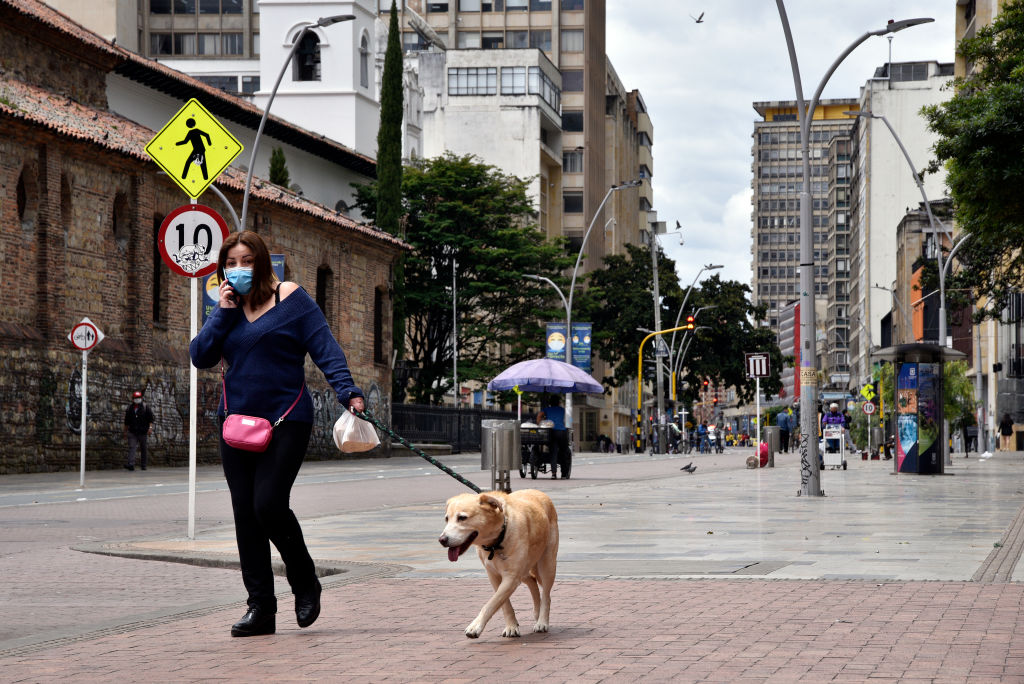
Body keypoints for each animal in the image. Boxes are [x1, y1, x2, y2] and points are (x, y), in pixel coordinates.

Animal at [436, 489, 557, 638]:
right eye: (447, 519)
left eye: (462, 518)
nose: (442, 540)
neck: (497, 540)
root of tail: (539, 492)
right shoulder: (494, 575)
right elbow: (504, 604)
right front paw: (511, 626)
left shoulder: (511, 577)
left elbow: (491, 603)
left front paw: (475, 626)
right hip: (524, 569)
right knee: (532, 581)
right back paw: (537, 612)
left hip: (546, 564)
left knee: (546, 595)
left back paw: (542, 621)